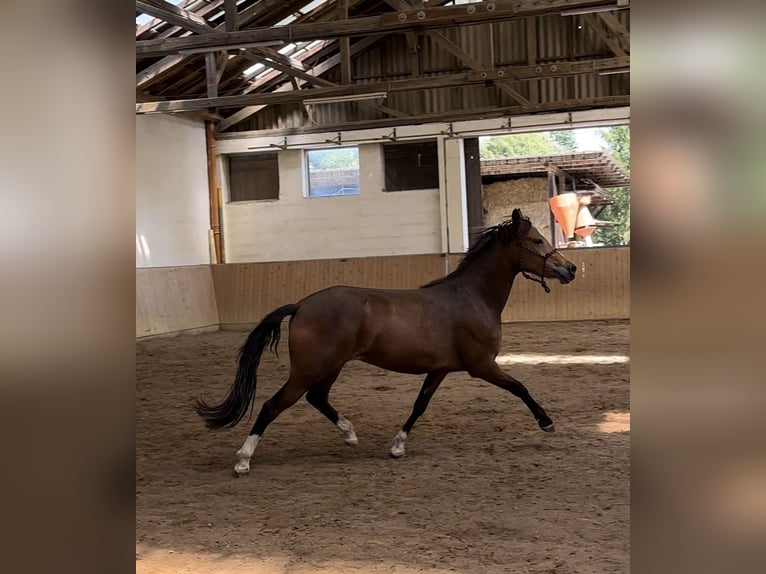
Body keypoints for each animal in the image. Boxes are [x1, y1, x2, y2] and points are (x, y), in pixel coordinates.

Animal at [195, 208, 580, 476]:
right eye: (537, 241)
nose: (571, 269)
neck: (472, 297)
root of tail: (302, 305)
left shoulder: (440, 370)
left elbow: (419, 405)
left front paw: (397, 446)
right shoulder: (482, 366)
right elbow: (520, 387)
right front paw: (546, 422)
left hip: (330, 367)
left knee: (317, 398)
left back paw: (350, 435)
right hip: (308, 369)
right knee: (272, 406)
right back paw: (243, 461)